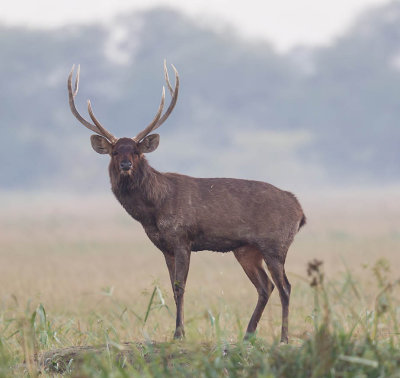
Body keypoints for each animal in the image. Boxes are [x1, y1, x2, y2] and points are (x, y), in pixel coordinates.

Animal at [67, 61, 304, 342]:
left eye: (136, 151)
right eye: (115, 152)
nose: (125, 165)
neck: (153, 212)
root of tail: (300, 211)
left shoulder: (182, 238)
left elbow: (181, 287)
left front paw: (179, 333)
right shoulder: (164, 246)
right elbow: (171, 287)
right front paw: (178, 330)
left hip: (275, 244)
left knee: (285, 286)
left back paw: (284, 338)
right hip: (246, 249)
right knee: (265, 286)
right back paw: (248, 334)